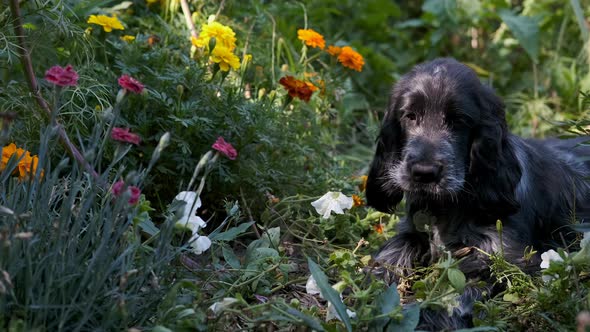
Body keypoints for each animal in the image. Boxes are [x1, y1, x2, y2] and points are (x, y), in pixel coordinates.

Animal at [368, 57, 588, 330]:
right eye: (410, 116)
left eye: (458, 121)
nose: (424, 173)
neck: (449, 206)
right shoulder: (413, 229)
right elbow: (392, 251)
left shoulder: (510, 261)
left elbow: (457, 293)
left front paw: (418, 315)